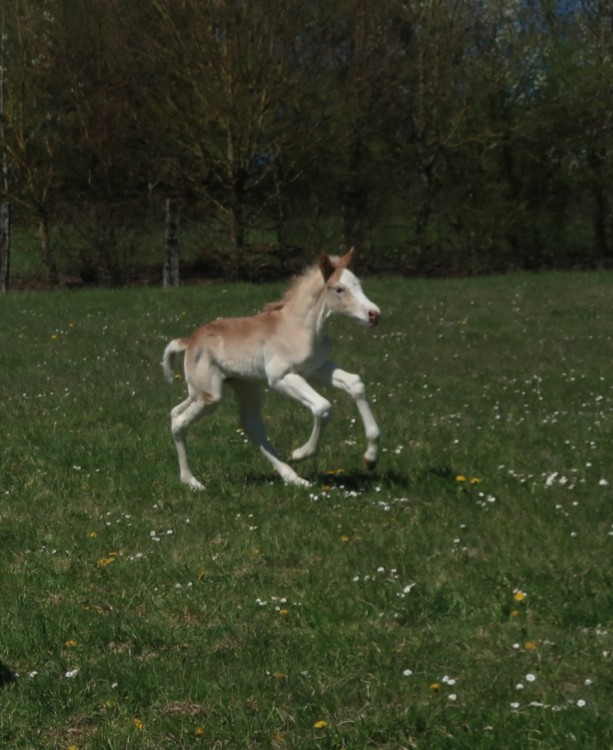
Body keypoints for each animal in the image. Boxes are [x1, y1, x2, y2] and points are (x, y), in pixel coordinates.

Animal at [161, 248, 381, 489]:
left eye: (359, 283)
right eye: (340, 289)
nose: (374, 314)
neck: (299, 327)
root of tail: (190, 341)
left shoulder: (317, 368)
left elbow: (356, 383)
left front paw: (370, 458)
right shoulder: (281, 377)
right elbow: (323, 407)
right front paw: (300, 453)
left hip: (237, 387)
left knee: (245, 425)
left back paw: (294, 478)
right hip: (210, 395)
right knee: (180, 422)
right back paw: (192, 482)